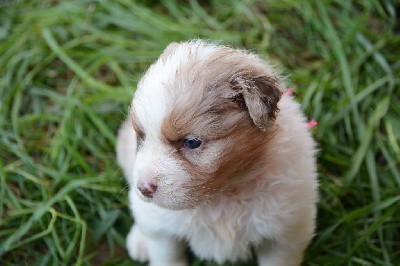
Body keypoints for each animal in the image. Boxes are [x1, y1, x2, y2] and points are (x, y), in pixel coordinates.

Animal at [116, 40, 318, 266]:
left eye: (191, 142)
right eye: (141, 136)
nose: (143, 188)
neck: (223, 196)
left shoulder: (285, 235)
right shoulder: (162, 232)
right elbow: (167, 254)